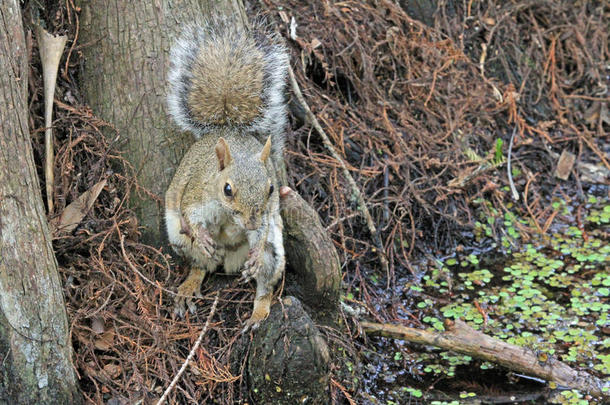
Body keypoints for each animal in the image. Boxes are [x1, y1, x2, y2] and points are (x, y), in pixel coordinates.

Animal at [164, 15, 288, 330]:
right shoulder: (197, 192)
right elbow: (190, 213)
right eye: (227, 189)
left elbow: (265, 229)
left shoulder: (266, 215)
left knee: (265, 285)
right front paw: (203, 234)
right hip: (180, 240)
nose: (252, 223)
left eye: (271, 189)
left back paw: (258, 311)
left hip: (274, 254)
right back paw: (190, 284)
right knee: (200, 265)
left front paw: (255, 248)